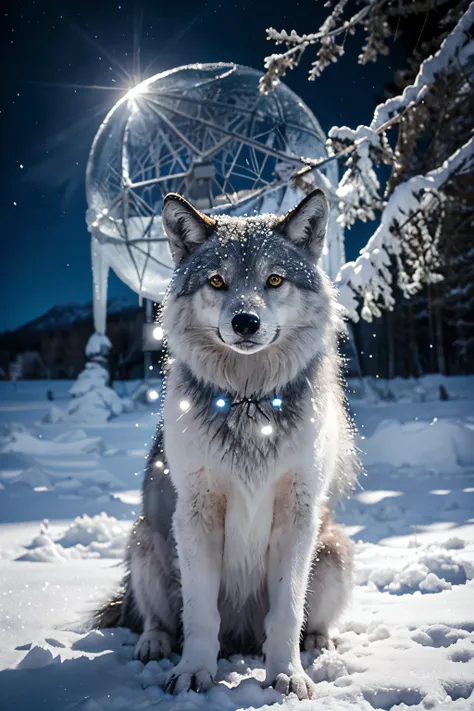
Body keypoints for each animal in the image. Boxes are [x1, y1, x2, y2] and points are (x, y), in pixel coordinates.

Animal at [95, 189, 356, 700]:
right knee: (155, 618)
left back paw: (317, 643)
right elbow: (199, 614)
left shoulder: (297, 513)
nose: (245, 322)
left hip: (334, 548)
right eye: (217, 281)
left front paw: (287, 675)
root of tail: (240, 640)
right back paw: (155, 645)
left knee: (306, 620)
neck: (248, 401)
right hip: (145, 538)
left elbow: (287, 611)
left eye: (274, 279)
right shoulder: (197, 511)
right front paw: (193, 673)